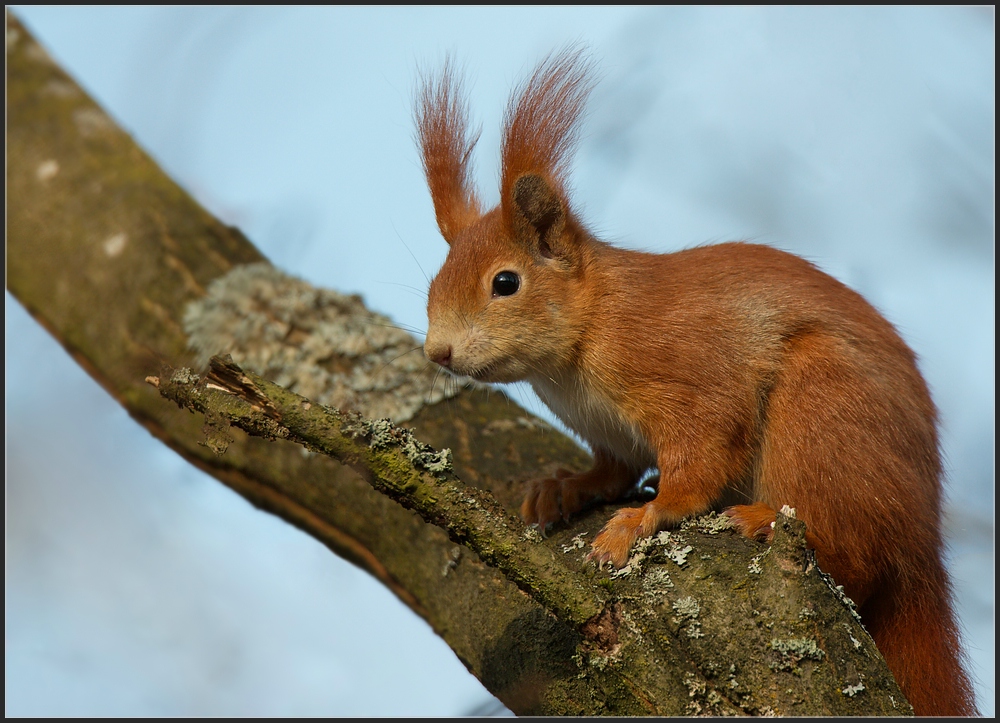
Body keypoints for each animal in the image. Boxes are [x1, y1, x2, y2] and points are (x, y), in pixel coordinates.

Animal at [414, 51, 976, 720]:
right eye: (436, 280)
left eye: (505, 283)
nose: (438, 351)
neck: (581, 344)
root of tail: (922, 537)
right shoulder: (609, 432)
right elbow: (611, 470)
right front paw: (565, 487)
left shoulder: (688, 377)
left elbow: (701, 457)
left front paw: (647, 515)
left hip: (823, 409)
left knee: (853, 554)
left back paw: (764, 520)